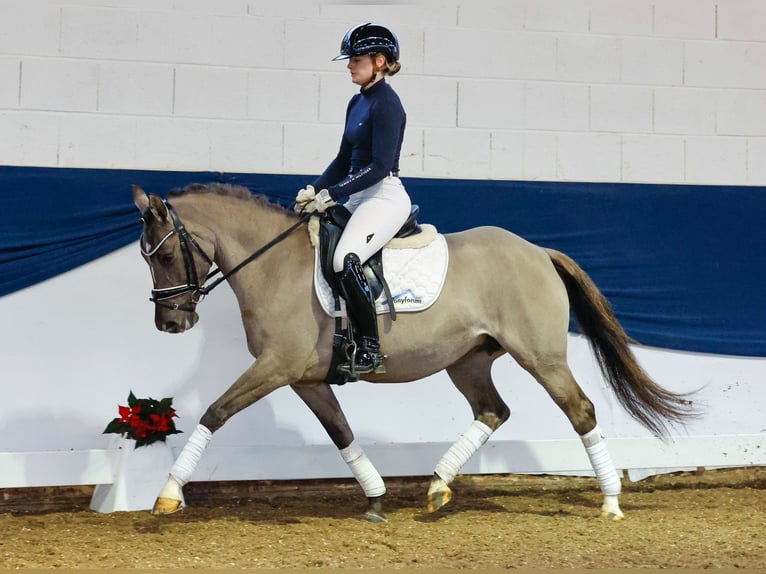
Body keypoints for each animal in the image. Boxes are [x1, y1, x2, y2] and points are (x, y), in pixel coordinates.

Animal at [130, 182, 696, 524]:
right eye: (144, 256)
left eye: (164, 253)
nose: (171, 323)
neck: (273, 265)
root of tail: (538, 251)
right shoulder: (305, 378)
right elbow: (341, 433)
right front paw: (377, 497)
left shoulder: (275, 367)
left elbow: (215, 411)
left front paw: (168, 494)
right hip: (469, 360)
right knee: (493, 410)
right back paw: (438, 487)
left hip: (542, 357)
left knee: (580, 410)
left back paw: (610, 502)